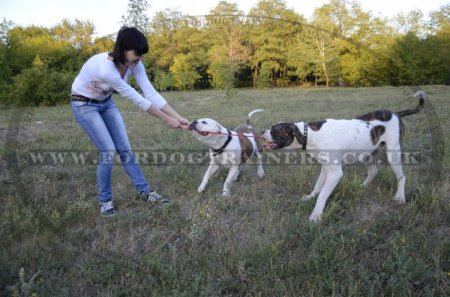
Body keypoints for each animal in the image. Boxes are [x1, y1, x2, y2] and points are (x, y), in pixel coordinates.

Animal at [262, 91, 424, 221]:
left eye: (274, 130)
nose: (262, 130)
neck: (309, 134)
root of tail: (396, 113)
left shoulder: (335, 174)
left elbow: (322, 195)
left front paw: (316, 215)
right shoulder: (325, 169)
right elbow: (318, 186)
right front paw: (310, 197)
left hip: (393, 154)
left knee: (401, 176)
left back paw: (400, 196)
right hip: (368, 154)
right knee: (373, 171)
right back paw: (363, 186)